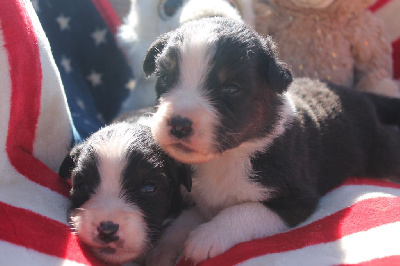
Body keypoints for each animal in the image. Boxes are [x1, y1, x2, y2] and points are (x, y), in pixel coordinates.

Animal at [143, 17, 400, 264]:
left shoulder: (297, 198)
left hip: (378, 148)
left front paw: (206, 237)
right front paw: (162, 249)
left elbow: (245, 210)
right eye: (165, 78)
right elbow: (182, 219)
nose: (179, 124)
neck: (226, 158)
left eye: (231, 88)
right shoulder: (194, 196)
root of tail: (361, 95)